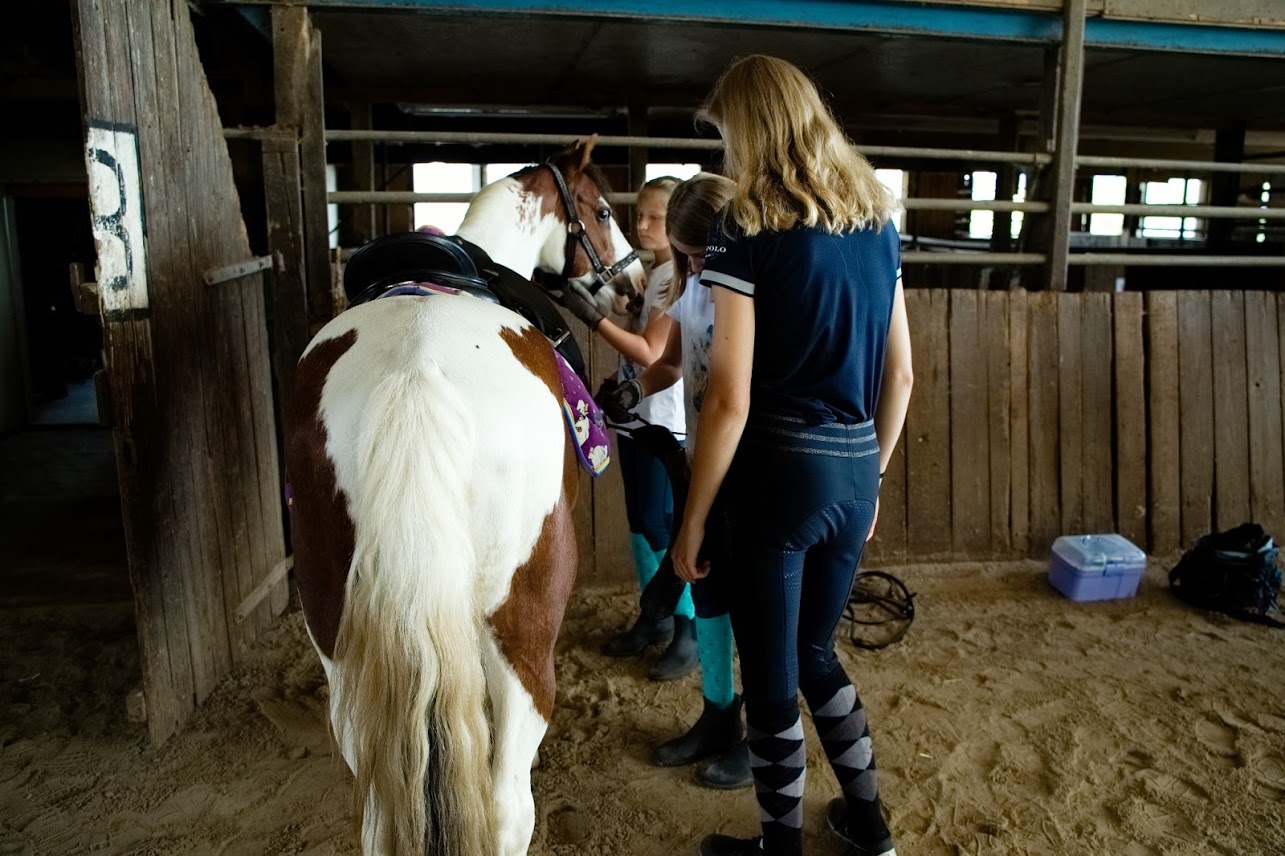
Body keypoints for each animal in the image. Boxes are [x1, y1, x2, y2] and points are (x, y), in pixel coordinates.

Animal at [282, 140, 642, 853]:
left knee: (380, 815)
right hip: (523, 630)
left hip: (340, 644)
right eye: (603, 210)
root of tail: (415, 370)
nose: (633, 286)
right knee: (507, 807)